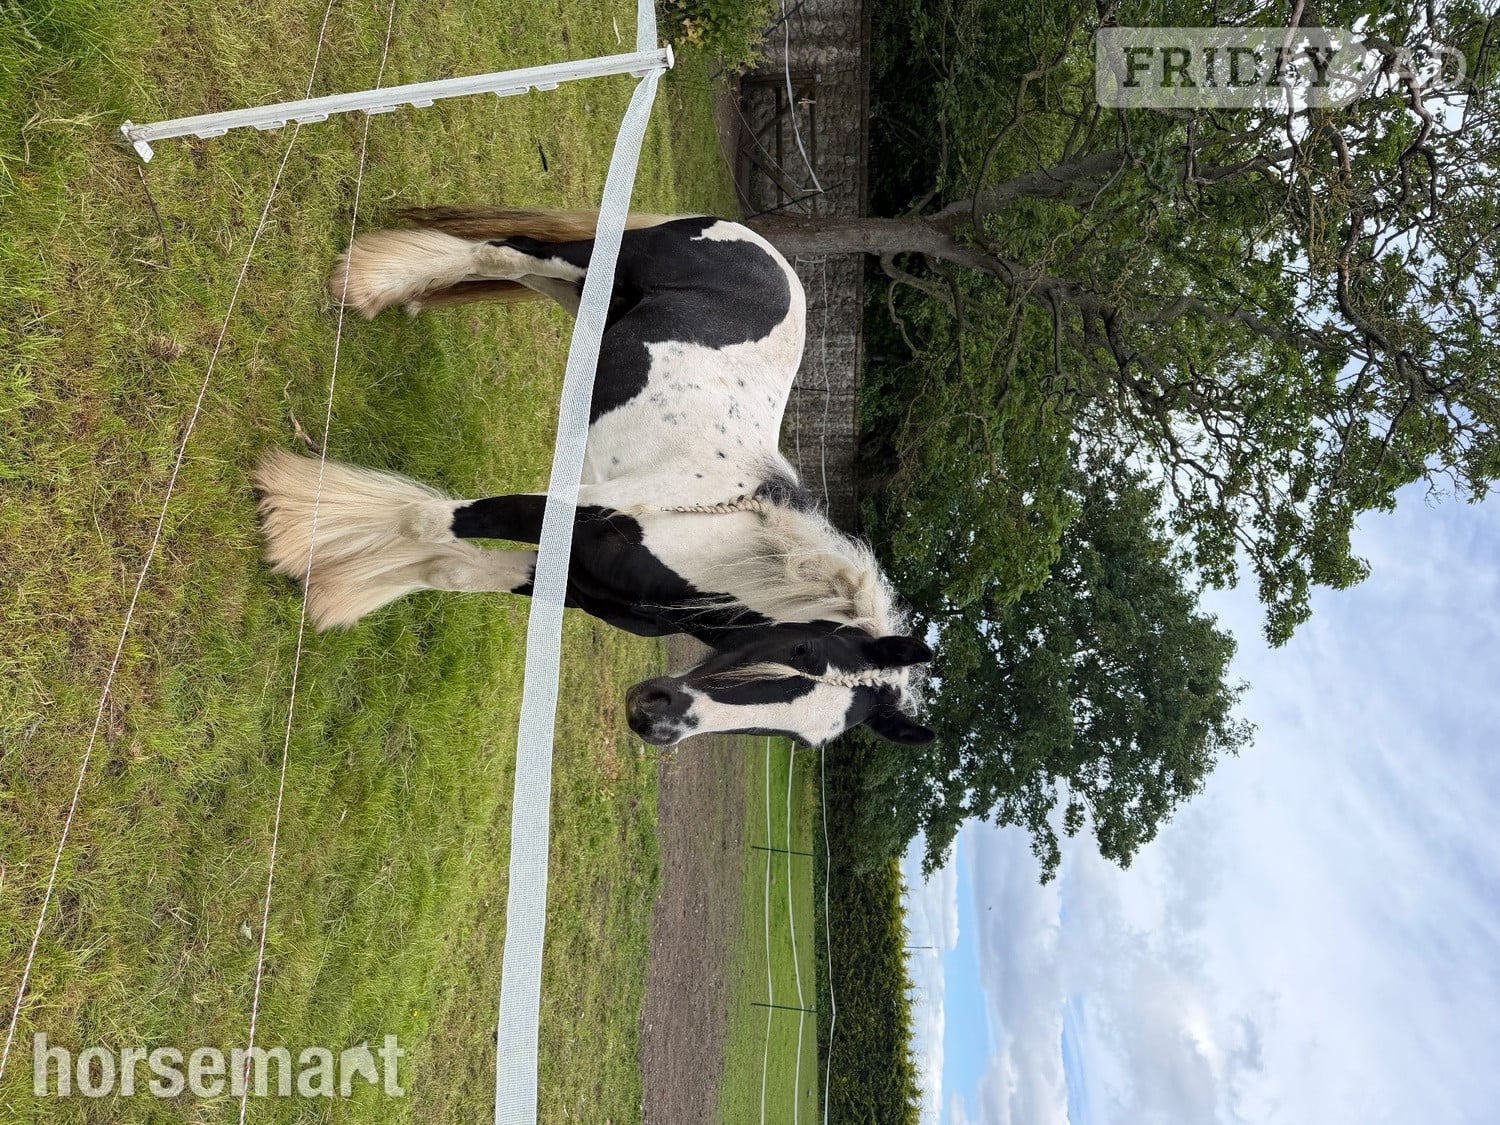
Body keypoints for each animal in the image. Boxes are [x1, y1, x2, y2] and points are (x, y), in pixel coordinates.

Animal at [252, 208, 934, 748]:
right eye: (800, 654)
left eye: (807, 739)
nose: (654, 718)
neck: (702, 537)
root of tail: (758, 244)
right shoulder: (558, 508)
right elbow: (427, 520)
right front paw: (297, 525)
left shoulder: (572, 581)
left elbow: (448, 567)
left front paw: (338, 587)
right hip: (606, 264)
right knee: (508, 250)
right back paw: (370, 284)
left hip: (592, 297)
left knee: (527, 271)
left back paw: (398, 289)